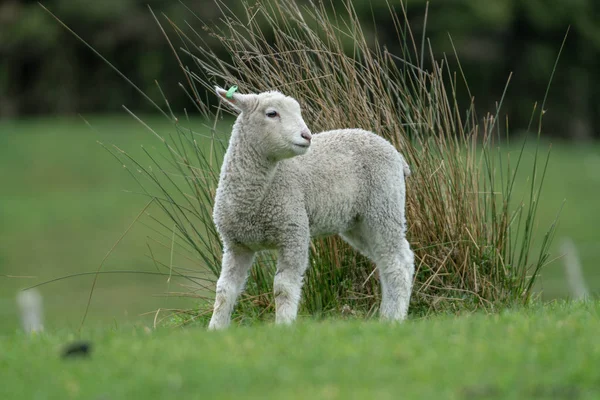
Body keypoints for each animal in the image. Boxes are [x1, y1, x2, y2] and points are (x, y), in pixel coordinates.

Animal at [209, 88, 414, 332]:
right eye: (271, 113)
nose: (307, 136)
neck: (254, 198)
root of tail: (396, 154)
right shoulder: (236, 245)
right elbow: (224, 290)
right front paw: (215, 329)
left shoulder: (293, 233)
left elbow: (283, 287)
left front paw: (283, 326)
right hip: (359, 223)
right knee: (392, 260)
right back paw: (386, 318)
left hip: (384, 207)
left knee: (397, 266)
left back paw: (396, 319)